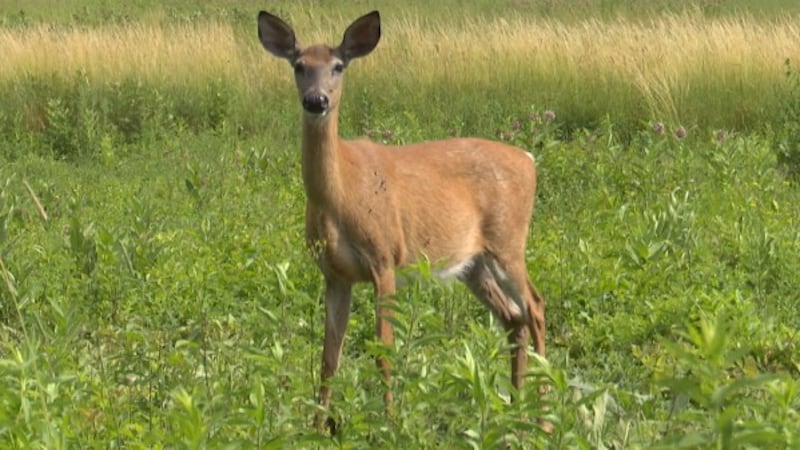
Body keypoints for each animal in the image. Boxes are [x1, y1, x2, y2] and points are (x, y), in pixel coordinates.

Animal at [257, 10, 548, 434]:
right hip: (473, 264)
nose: (316, 100)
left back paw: (544, 418)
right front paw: (318, 426)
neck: (341, 194)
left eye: (338, 66)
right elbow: (329, 356)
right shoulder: (335, 273)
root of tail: (528, 159)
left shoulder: (385, 258)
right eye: (299, 65)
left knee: (536, 308)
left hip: (508, 241)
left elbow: (384, 351)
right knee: (514, 318)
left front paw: (390, 424)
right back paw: (516, 410)